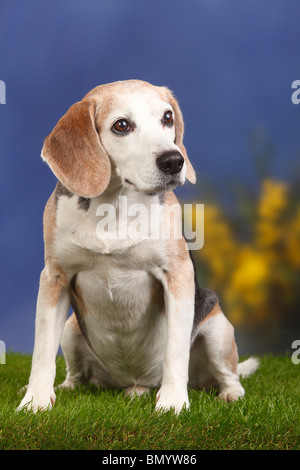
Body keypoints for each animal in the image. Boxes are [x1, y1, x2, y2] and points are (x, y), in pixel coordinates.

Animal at [18, 80, 258, 412]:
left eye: (167, 118)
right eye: (121, 125)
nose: (174, 160)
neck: (114, 207)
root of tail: (133, 382)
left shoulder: (177, 274)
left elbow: (175, 350)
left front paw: (173, 402)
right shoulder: (55, 278)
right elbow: (42, 351)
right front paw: (35, 400)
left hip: (217, 328)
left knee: (228, 374)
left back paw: (229, 393)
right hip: (70, 328)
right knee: (76, 372)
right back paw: (69, 387)